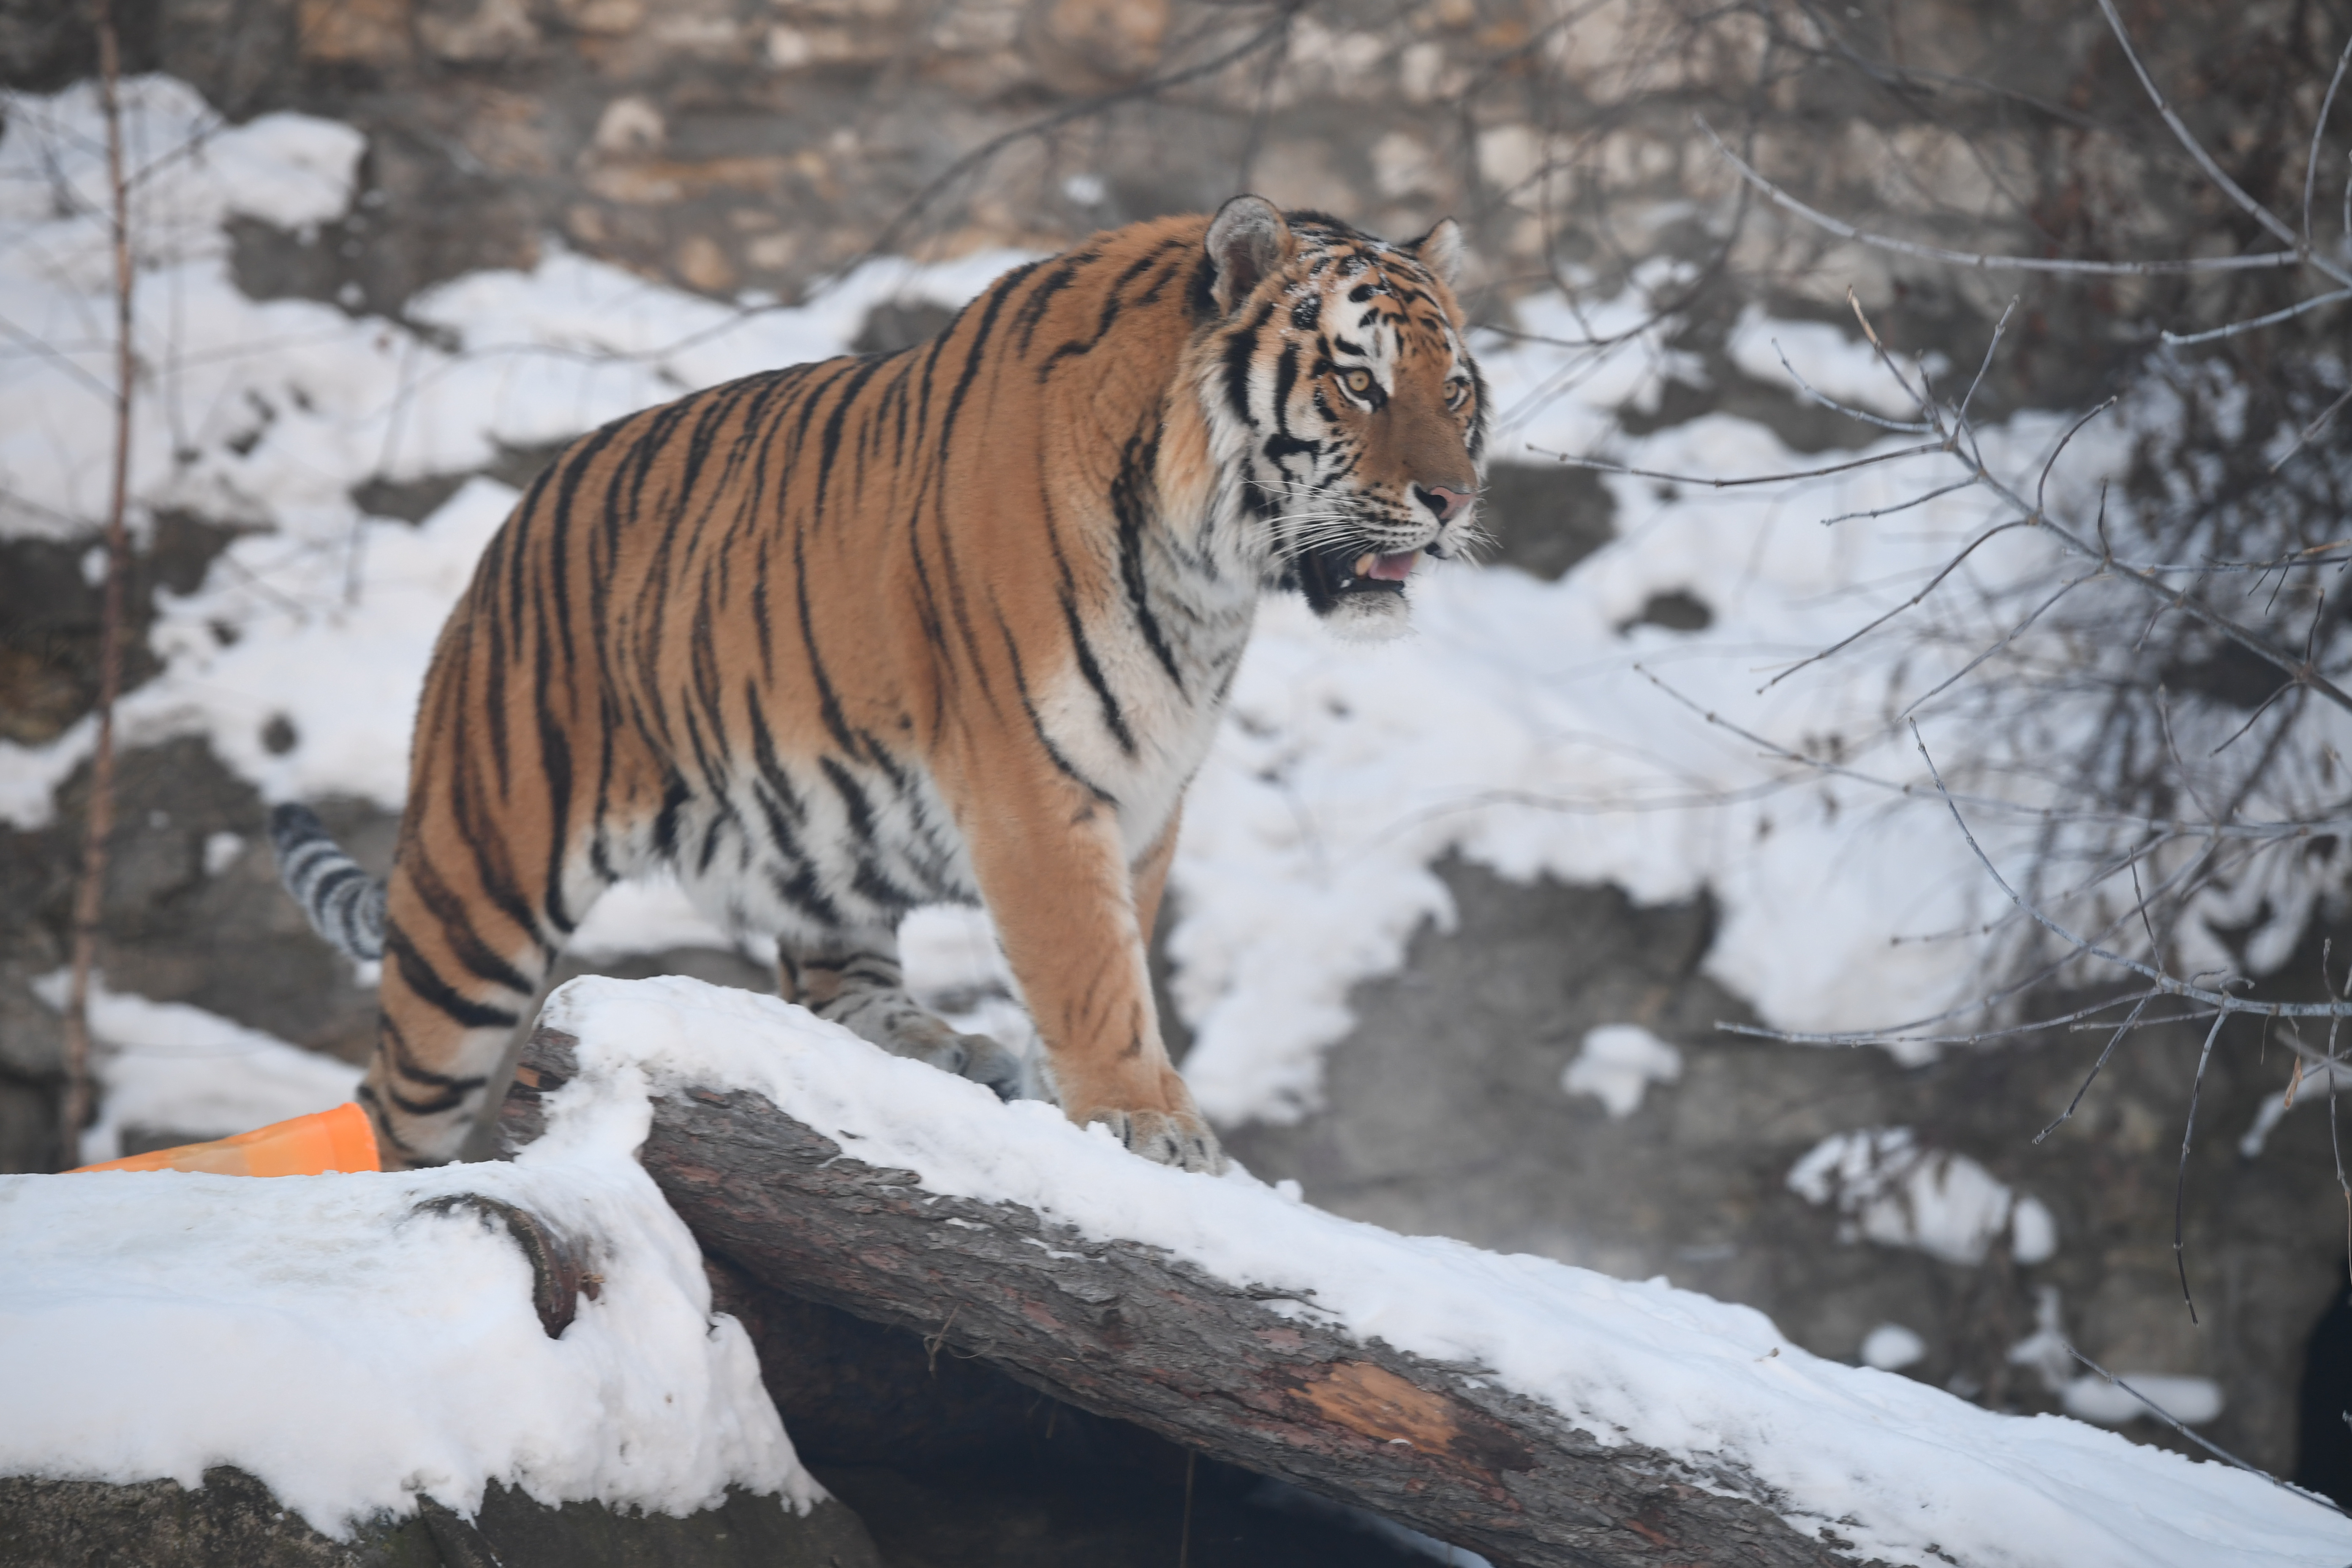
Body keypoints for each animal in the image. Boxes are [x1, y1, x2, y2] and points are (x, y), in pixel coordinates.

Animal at [270, 196, 1486, 1171]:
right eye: (1358, 380)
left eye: (1458, 391)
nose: (1454, 500)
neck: (1209, 576)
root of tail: (518, 516)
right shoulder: (1033, 781)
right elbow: (1093, 968)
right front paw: (1150, 1121)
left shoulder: (1147, 787)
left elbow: (1115, 951)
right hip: (477, 895)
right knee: (392, 1106)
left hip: (815, 840)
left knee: (828, 982)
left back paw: (941, 1048)